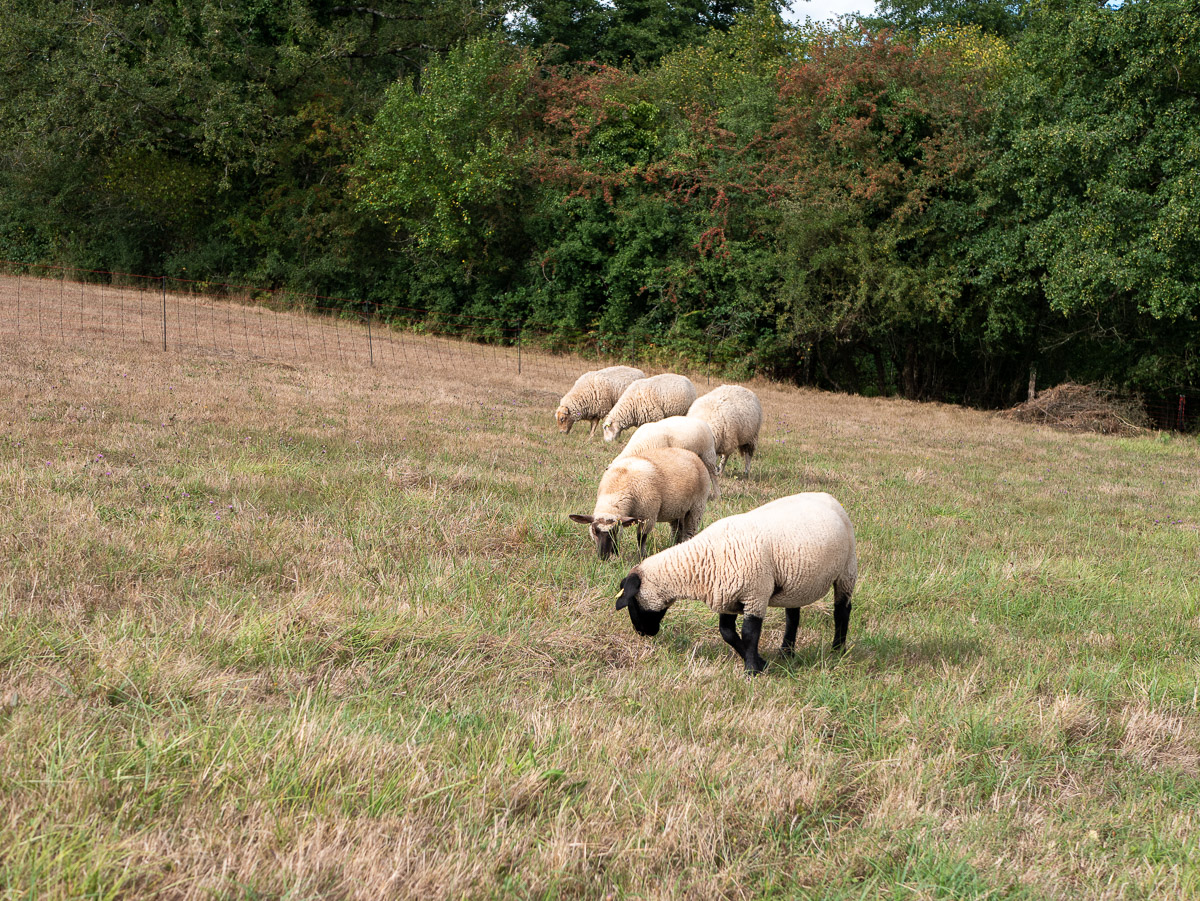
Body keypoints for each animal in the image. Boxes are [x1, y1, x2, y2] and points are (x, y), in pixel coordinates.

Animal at [568, 446, 711, 560]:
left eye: (614, 531)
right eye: (594, 530)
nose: (603, 557)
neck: (618, 485)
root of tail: (691, 453)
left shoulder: (648, 516)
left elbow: (641, 537)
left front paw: (641, 557)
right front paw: (616, 554)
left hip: (697, 507)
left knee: (690, 531)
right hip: (677, 509)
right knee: (677, 530)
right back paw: (675, 546)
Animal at [615, 492, 857, 674]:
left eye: (632, 602)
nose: (643, 634)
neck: (704, 559)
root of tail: (828, 496)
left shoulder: (755, 594)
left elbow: (749, 633)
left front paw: (752, 670)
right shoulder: (726, 596)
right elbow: (727, 633)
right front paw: (761, 662)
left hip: (847, 570)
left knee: (842, 610)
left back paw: (837, 649)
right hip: (795, 581)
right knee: (793, 616)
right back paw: (786, 652)